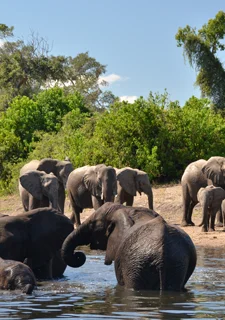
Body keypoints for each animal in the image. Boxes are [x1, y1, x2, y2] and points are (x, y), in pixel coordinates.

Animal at [60, 204, 196, 292]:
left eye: (93, 224)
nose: (79, 254)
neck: (126, 208)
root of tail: (162, 253)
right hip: (176, 263)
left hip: (135, 263)